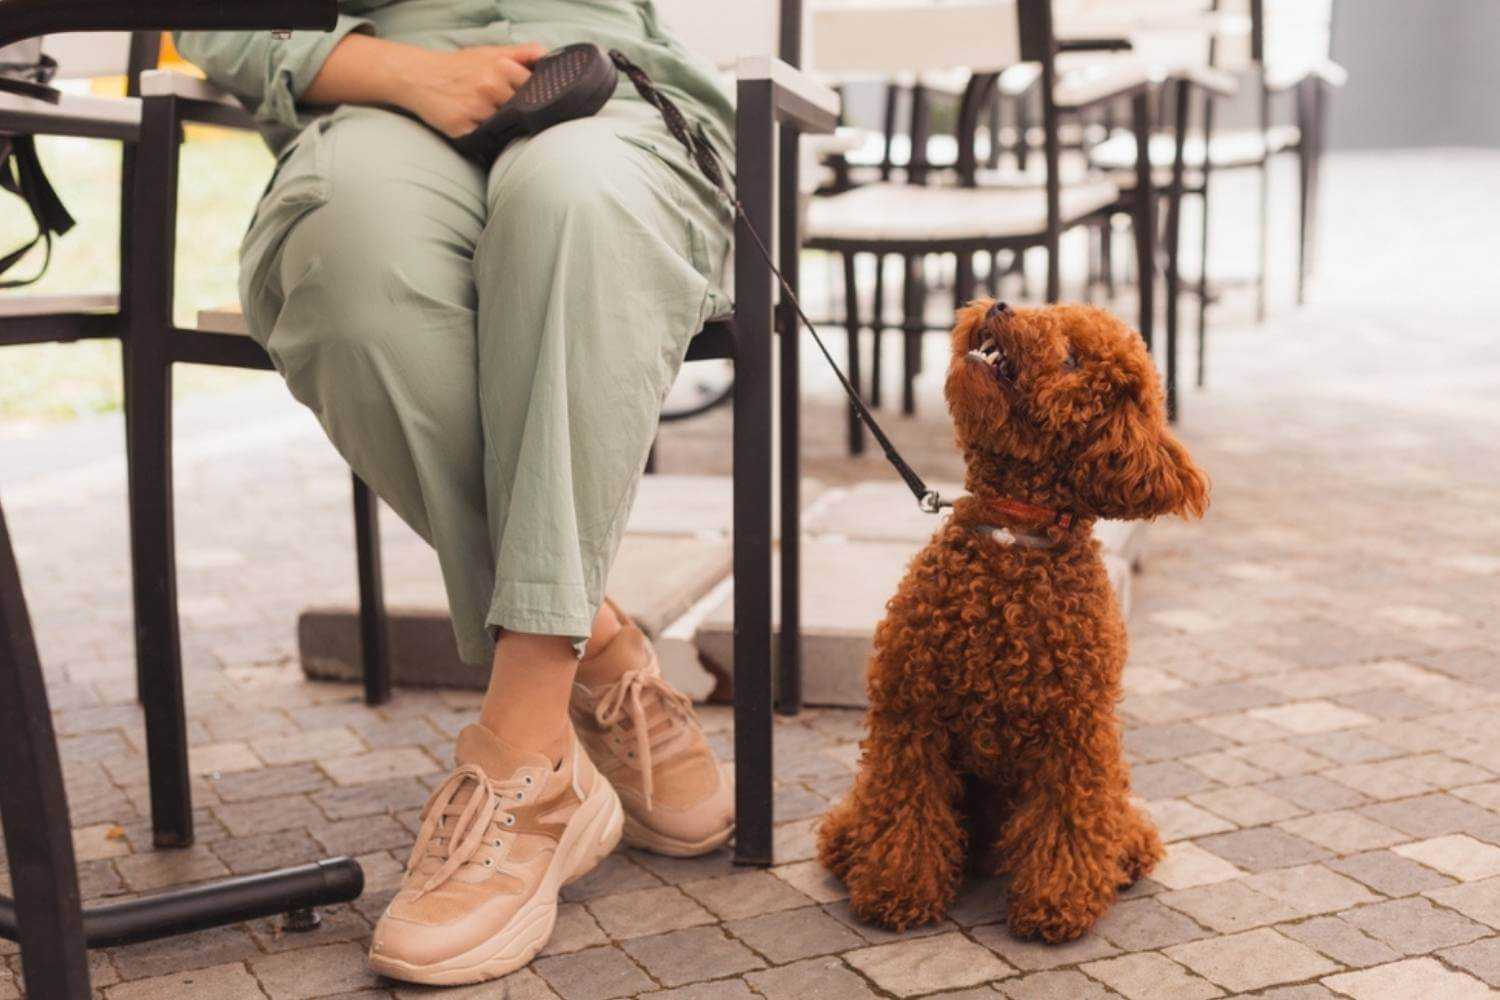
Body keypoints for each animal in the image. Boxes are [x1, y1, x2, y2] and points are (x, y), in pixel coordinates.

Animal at [822, 301, 1206, 941]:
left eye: (1073, 359)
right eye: (1049, 312)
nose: (999, 304)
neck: (1011, 535)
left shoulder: (1074, 735)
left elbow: (1066, 823)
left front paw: (1057, 903)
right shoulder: (911, 717)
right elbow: (906, 811)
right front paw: (897, 891)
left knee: (1111, 822)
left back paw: (1124, 853)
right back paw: (848, 843)